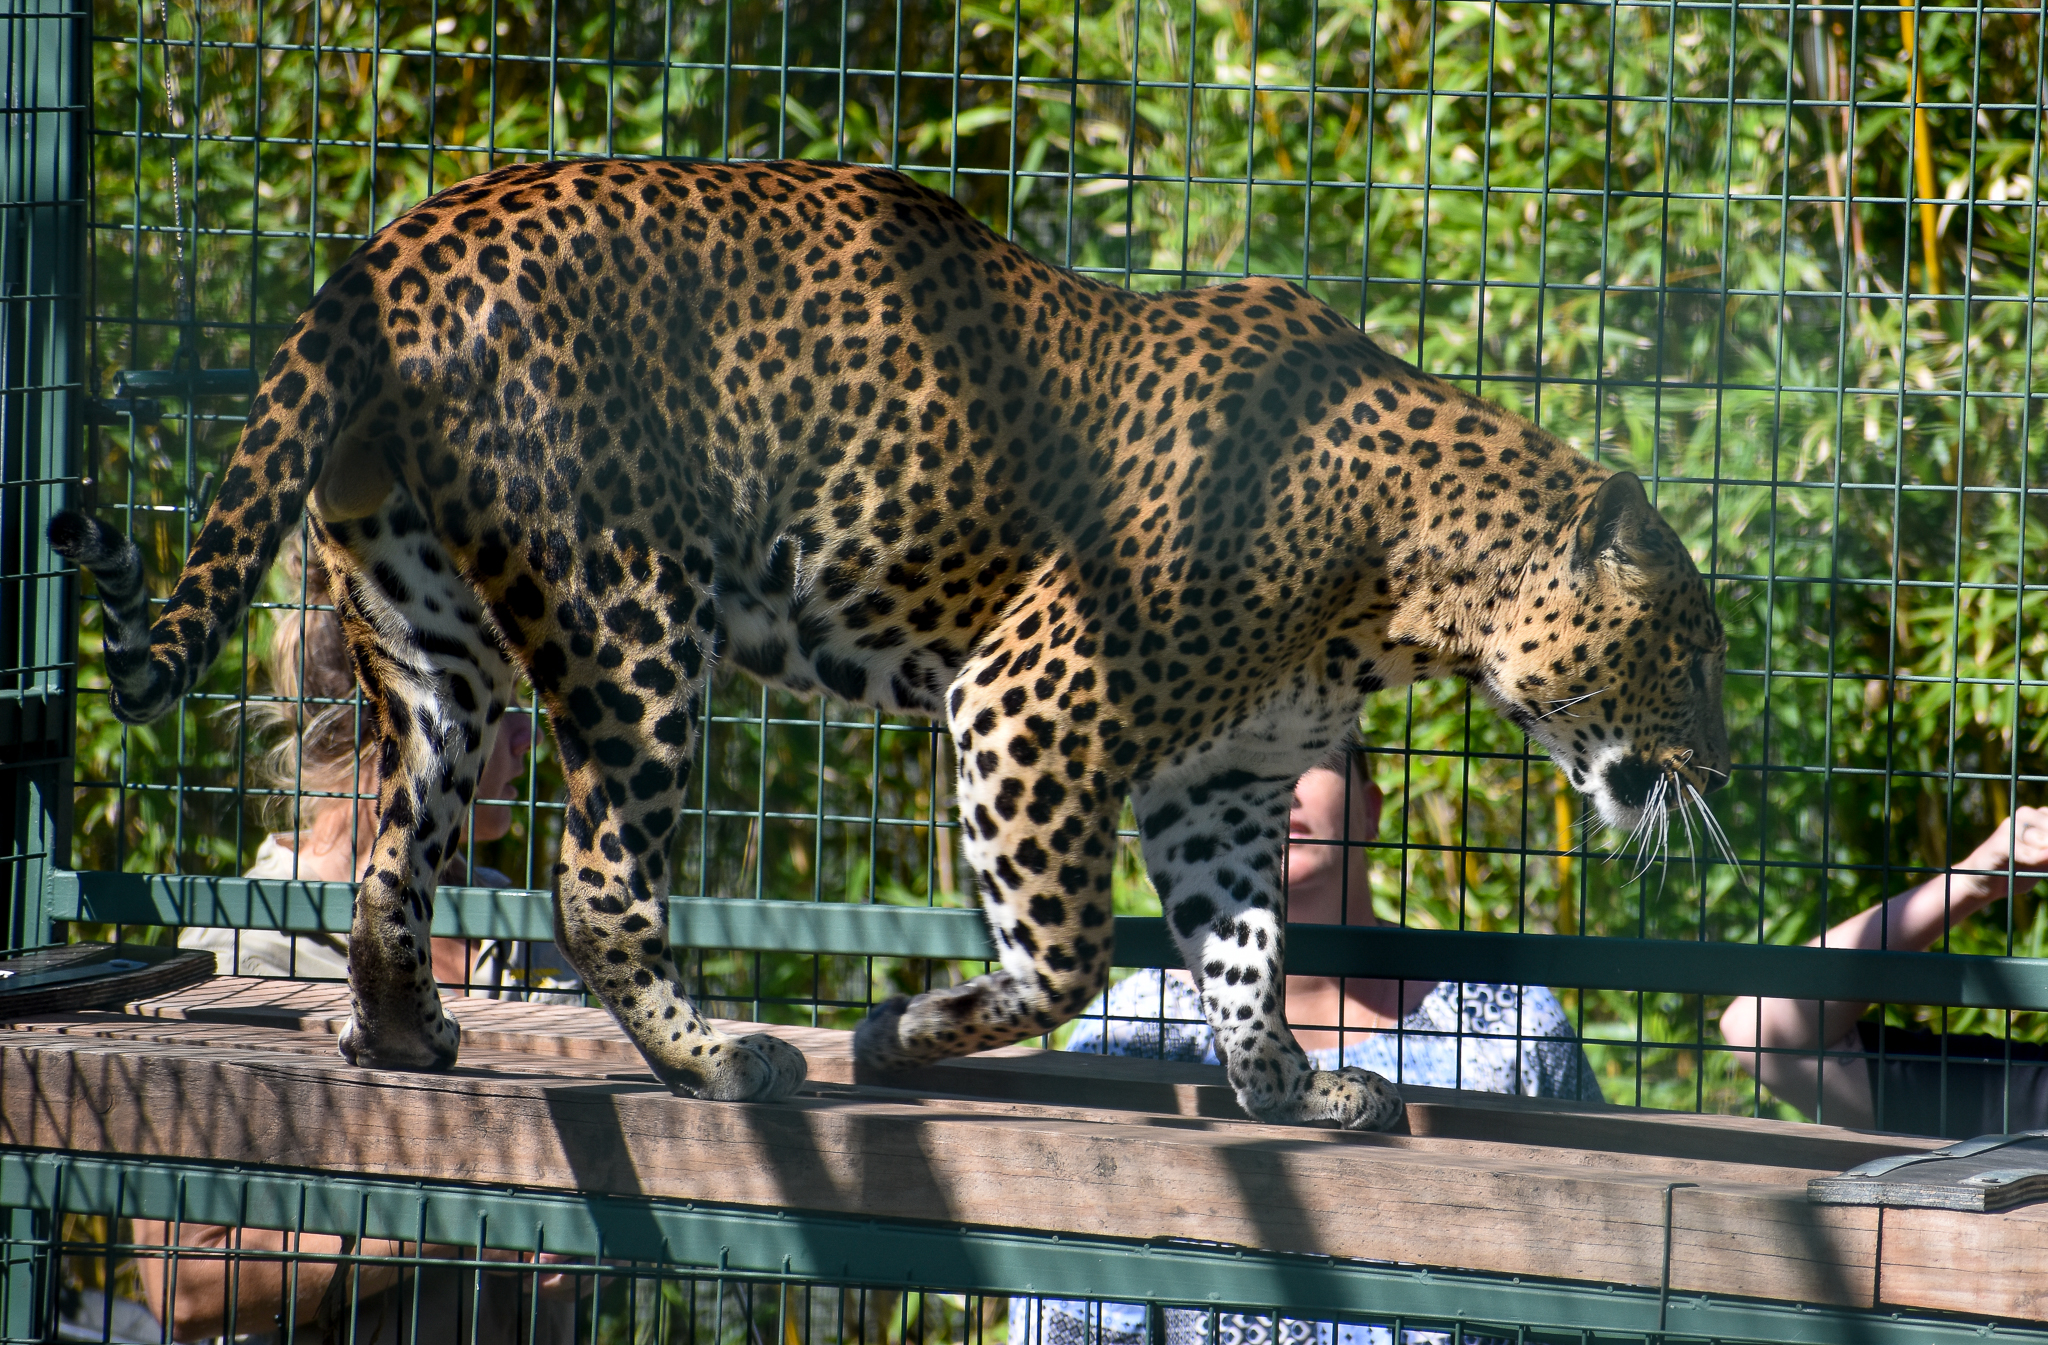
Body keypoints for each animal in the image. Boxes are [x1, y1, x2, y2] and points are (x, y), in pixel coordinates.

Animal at [51, 157, 1729, 1131]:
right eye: (1698, 655)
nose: (1717, 762)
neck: (1409, 589)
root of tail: (391, 245)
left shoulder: (1228, 785)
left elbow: (1246, 951)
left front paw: (1287, 1085)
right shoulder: (1033, 699)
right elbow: (1062, 955)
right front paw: (902, 1029)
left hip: (428, 628)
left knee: (398, 850)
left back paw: (404, 1037)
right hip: (633, 618)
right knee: (591, 877)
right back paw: (724, 1060)